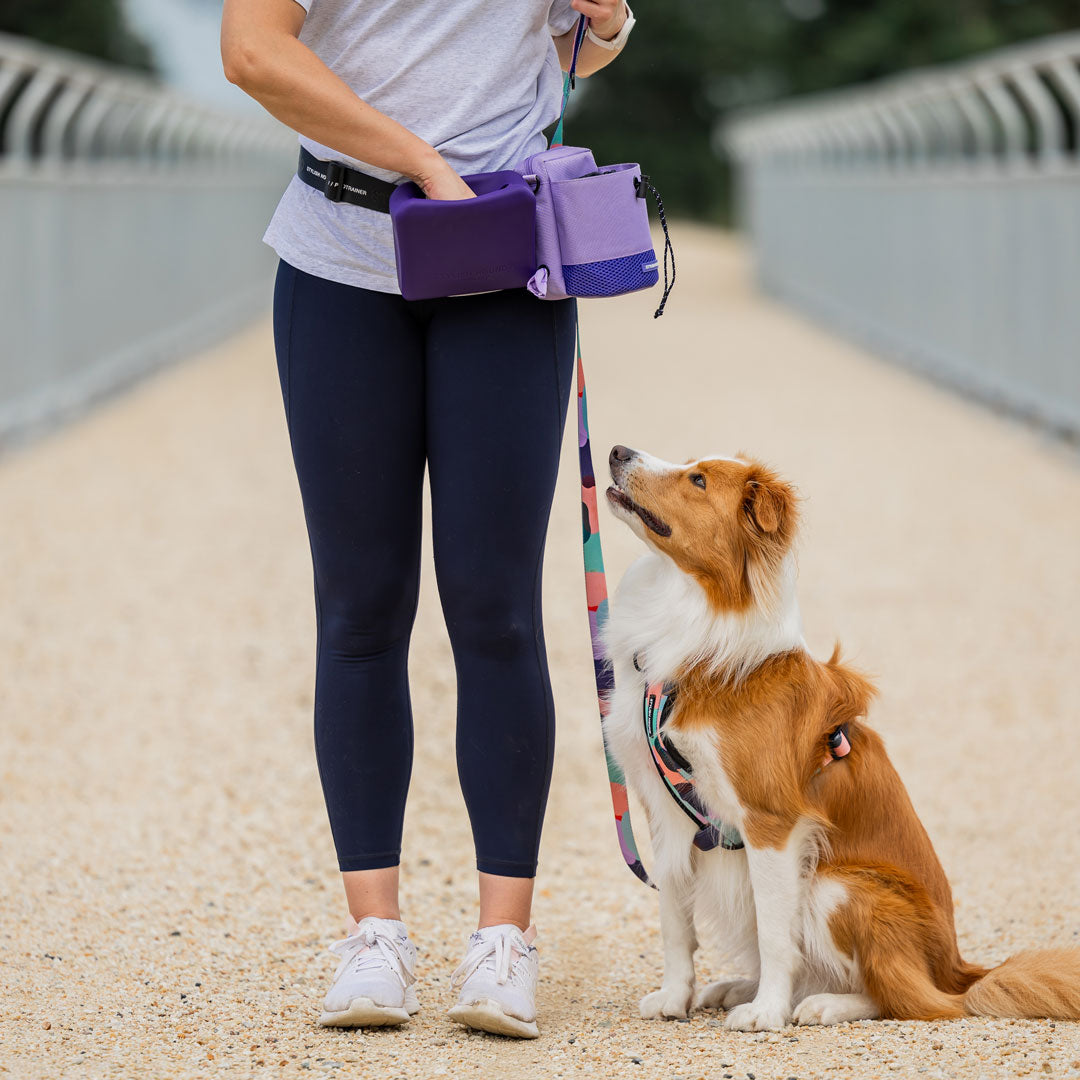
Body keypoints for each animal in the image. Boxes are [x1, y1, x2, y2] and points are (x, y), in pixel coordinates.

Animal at [600, 444, 1080, 1028]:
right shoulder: (666, 813)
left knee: (913, 998)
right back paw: (740, 987)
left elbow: (776, 934)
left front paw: (768, 1013)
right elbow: (673, 919)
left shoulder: (770, 821)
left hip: (840, 887)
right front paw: (675, 996)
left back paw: (822, 1003)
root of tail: (958, 969)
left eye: (697, 480)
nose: (617, 450)